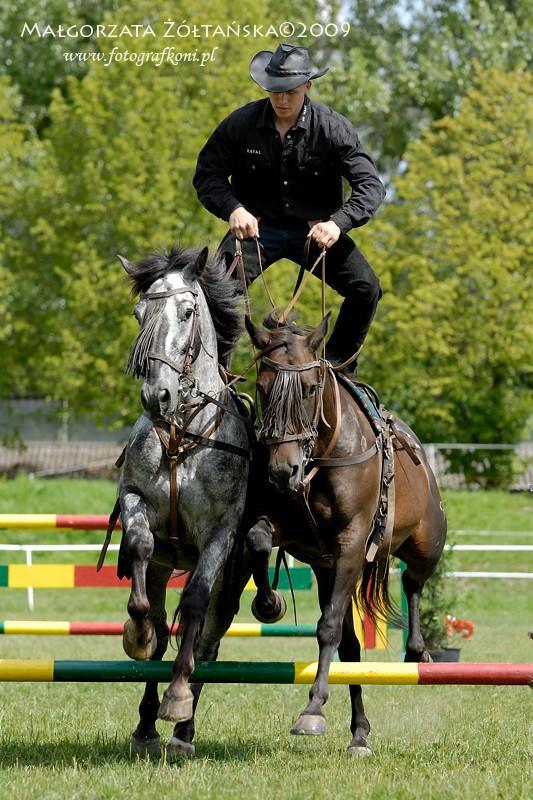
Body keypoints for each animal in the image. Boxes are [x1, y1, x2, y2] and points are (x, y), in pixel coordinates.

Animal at [114, 247, 249, 760]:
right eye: (139, 315)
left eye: (188, 313)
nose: (158, 396)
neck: (181, 438)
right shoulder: (135, 502)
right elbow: (140, 550)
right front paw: (136, 635)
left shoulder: (220, 533)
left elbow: (193, 603)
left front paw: (176, 699)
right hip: (164, 565)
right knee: (158, 625)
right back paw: (146, 726)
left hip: (232, 580)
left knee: (208, 643)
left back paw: (182, 728)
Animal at [244, 312, 444, 756]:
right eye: (262, 387)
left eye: (310, 388)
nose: (282, 471)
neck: (322, 454)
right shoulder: (299, 539)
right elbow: (258, 540)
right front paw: (268, 603)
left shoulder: (352, 545)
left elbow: (328, 627)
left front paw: (313, 710)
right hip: (328, 569)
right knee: (353, 647)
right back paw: (360, 734)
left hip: (425, 545)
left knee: (413, 579)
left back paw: (418, 651)